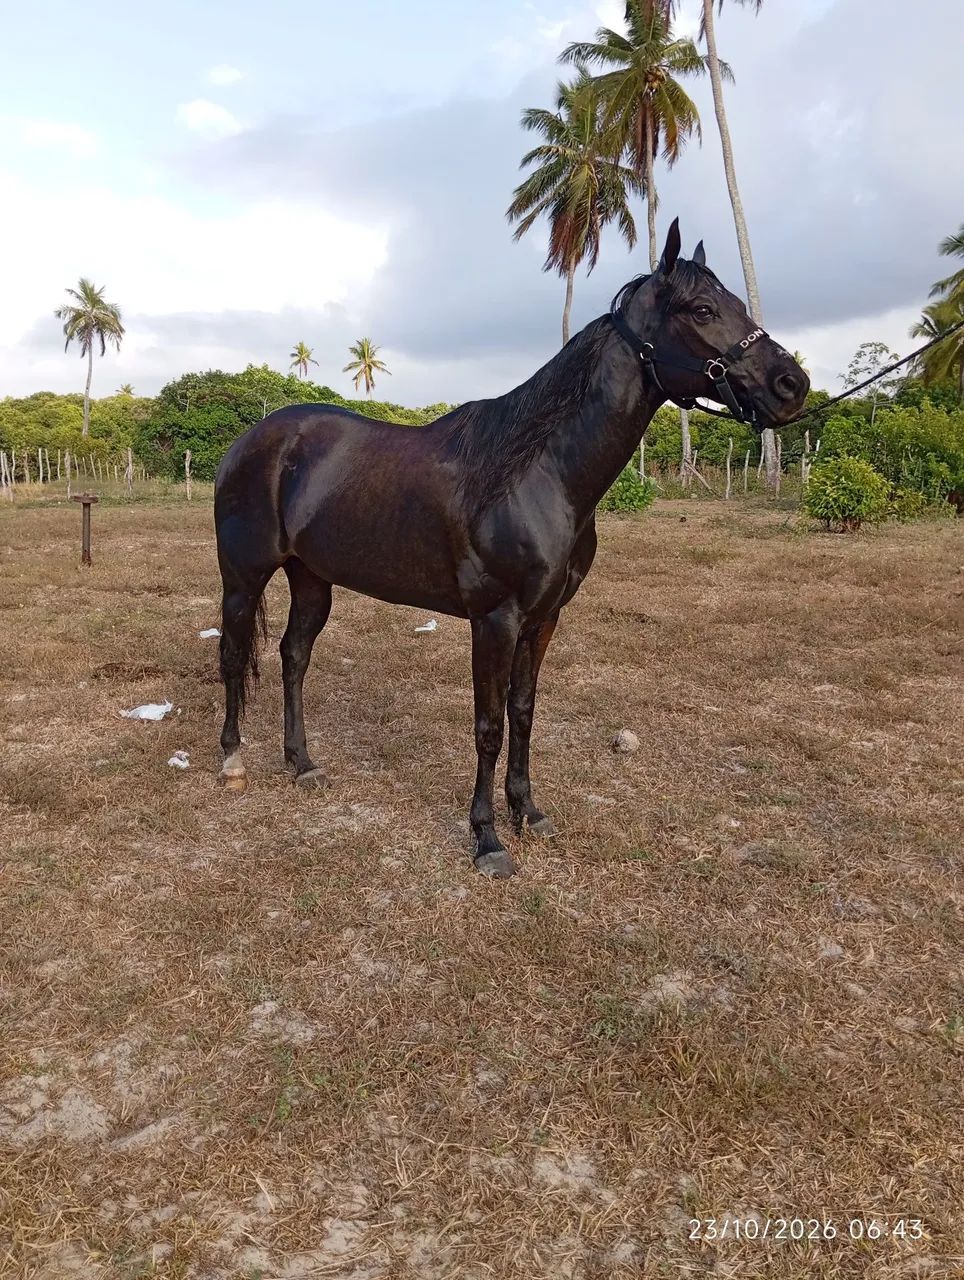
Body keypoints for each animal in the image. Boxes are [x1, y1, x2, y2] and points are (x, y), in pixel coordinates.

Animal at [213, 219, 809, 877]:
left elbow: (523, 712)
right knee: (234, 656)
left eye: (735, 303)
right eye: (703, 309)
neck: (538, 474)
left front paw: (528, 812)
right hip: (244, 577)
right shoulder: (494, 620)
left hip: (312, 578)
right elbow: (489, 725)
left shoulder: (544, 619)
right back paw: (233, 760)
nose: (792, 384)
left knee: (294, 657)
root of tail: (252, 439)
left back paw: (301, 763)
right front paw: (487, 839)